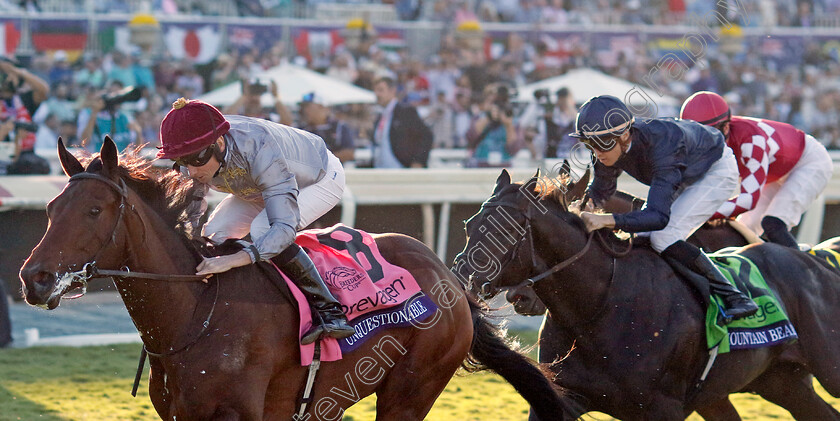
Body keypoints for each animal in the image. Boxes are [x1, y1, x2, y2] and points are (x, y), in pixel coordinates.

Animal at [18, 139, 576, 420]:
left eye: (93, 210)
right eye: (49, 208)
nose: (34, 279)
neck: (195, 314)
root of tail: (448, 278)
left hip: (411, 389)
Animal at [456, 170, 840, 420]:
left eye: (505, 230)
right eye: (469, 225)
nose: (461, 277)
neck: (597, 309)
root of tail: (814, 257)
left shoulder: (663, 409)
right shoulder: (562, 397)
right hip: (780, 382)